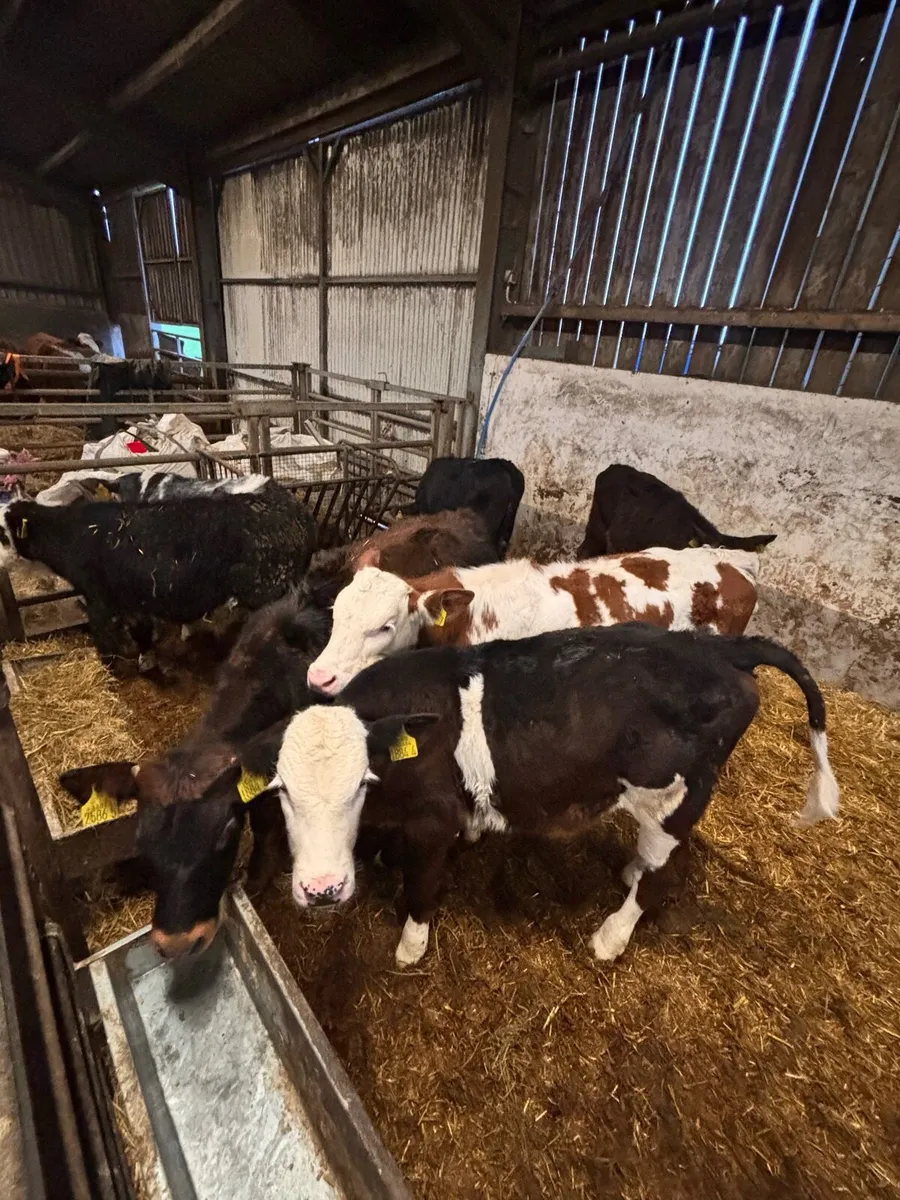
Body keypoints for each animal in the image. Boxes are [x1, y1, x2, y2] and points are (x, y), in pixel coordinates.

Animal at [0, 488, 317, 670]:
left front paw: (140, 660)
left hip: (270, 588)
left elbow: (126, 633)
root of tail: (298, 512)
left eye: (2, 532)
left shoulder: (108, 597)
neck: (72, 535)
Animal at [274, 625, 839, 966]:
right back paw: (631, 871)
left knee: (661, 873)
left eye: (360, 785)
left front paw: (410, 948)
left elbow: (420, 888)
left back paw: (610, 938)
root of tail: (720, 648)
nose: (321, 890)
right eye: (283, 793)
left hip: (679, 797)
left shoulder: (432, 821)